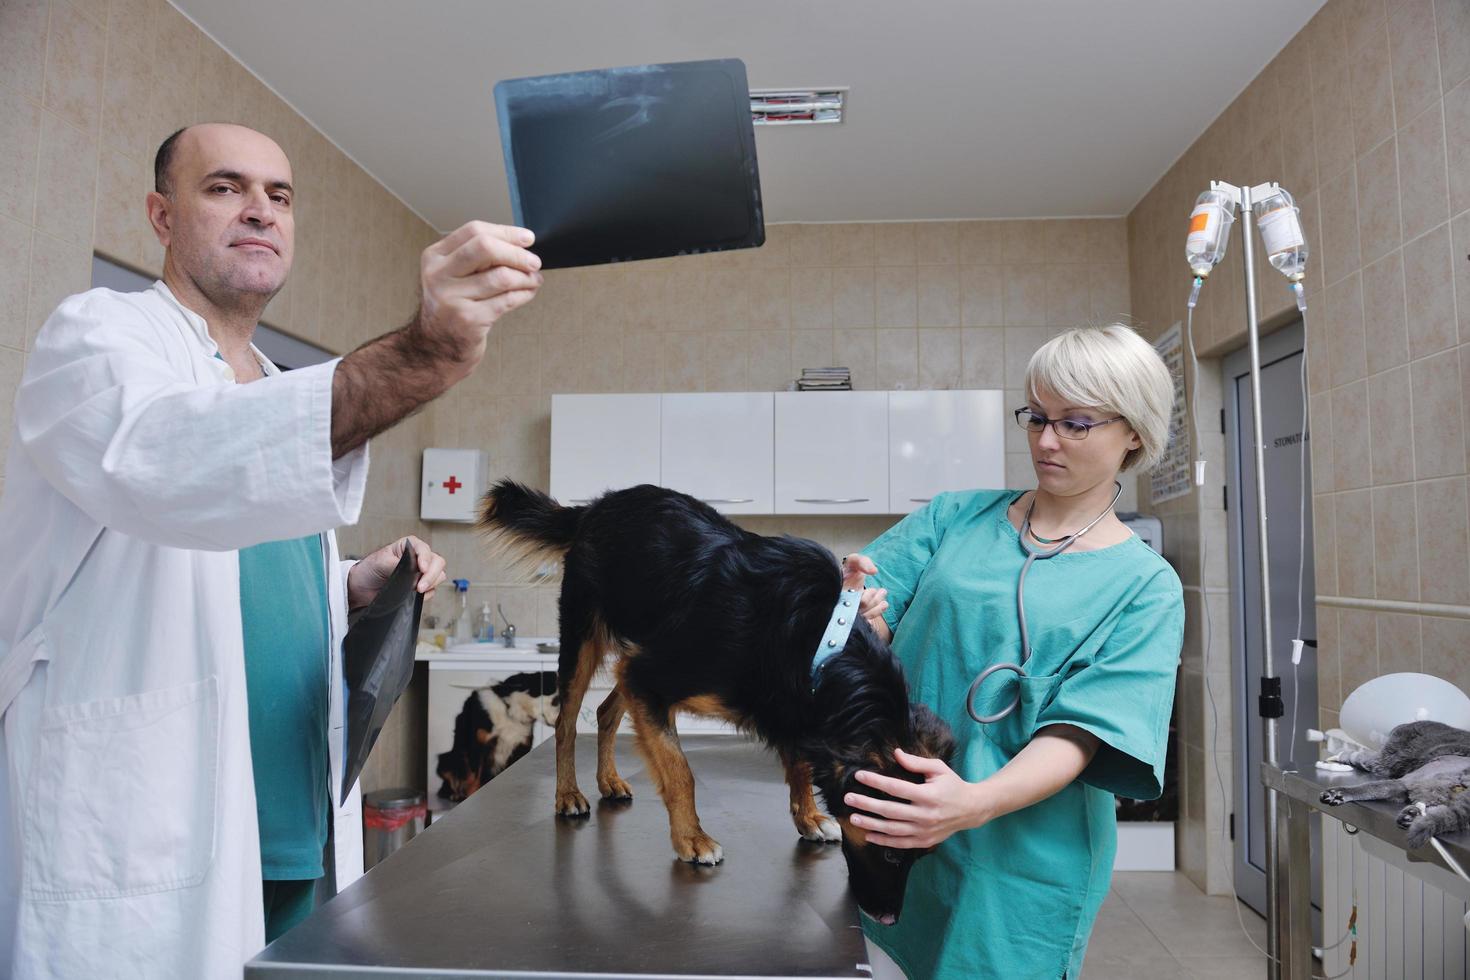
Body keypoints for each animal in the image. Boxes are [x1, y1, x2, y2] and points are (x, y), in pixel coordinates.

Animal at [482, 478, 952, 922]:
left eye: (920, 855)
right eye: (890, 851)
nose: (887, 919)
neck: (819, 641)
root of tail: (596, 506)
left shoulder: (773, 701)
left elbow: (798, 761)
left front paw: (808, 816)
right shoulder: (651, 679)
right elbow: (680, 772)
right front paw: (692, 838)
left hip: (641, 654)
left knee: (604, 709)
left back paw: (608, 780)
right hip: (587, 639)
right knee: (567, 723)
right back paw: (568, 794)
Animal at [1317, 719, 1470, 852]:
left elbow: (1370, 787)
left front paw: (1337, 793)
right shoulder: (1405, 784)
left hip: (1389, 758)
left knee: (1363, 759)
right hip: (1392, 759)